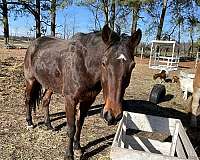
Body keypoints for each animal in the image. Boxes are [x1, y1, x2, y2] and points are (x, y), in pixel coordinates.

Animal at [23, 24, 141, 159]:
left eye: (132, 65)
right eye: (104, 63)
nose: (113, 115)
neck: (84, 64)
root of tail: (34, 43)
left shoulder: (88, 100)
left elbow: (79, 124)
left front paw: (78, 148)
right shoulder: (70, 100)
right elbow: (71, 128)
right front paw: (69, 155)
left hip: (50, 84)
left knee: (45, 100)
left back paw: (48, 125)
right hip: (30, 80)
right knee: (28, 100)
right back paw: (29, 123)